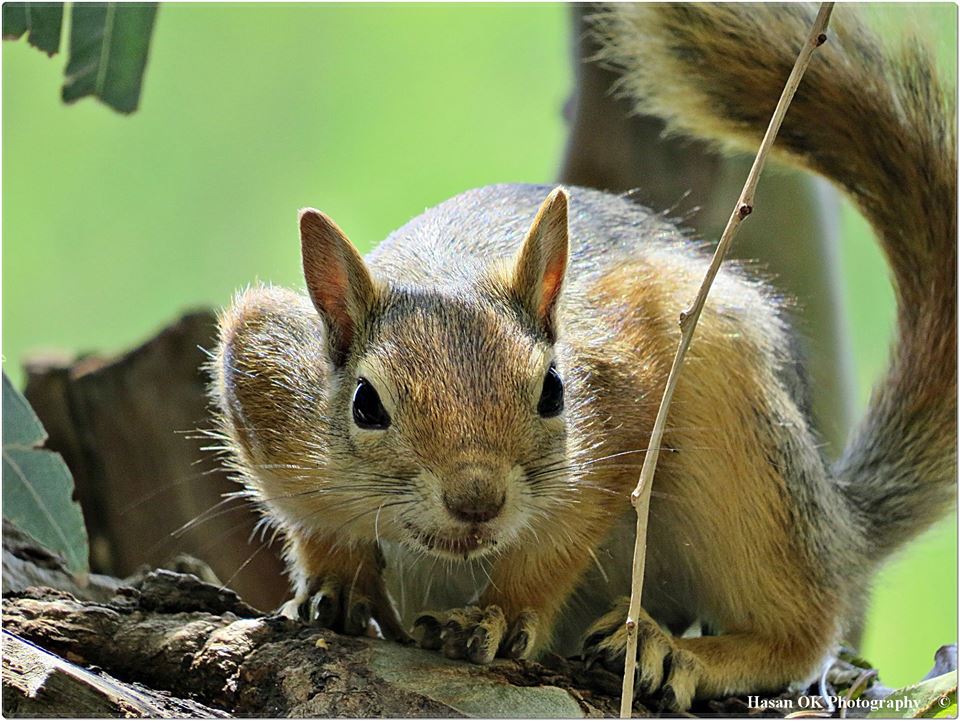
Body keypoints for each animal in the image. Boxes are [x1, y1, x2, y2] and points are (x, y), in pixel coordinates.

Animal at [208, 4, 952, 716]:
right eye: (366, 404)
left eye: (553, 392)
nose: (477, 500)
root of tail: (839, 522)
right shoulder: (260, 360)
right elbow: (313, 519)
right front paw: (335, 583)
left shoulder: (628, 384)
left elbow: (558, 539)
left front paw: (502, 612)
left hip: (742, 439)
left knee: (800, 624)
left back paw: (678, 652)